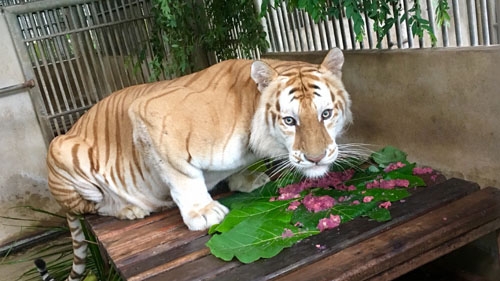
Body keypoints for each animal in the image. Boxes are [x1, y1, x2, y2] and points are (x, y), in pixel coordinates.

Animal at [37, 48, 352, 280]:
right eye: (289, 120)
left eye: (326, 114)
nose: (316, 157)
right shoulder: (151, 117)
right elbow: (184, 178)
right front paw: (203, 212)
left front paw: (247, 180)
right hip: (63, 154)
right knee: (93, 207)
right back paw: (131, 209)